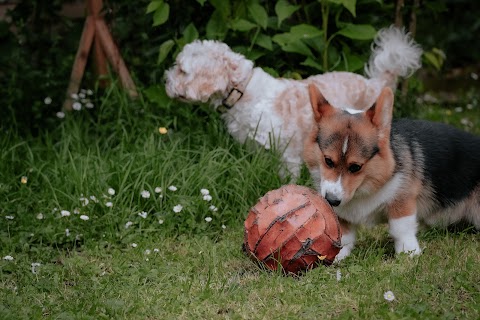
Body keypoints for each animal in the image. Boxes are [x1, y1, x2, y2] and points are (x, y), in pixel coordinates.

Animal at [165, 26, 420, 179]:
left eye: (182, 70)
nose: (165, 80)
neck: (245, 92)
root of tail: (375, 83)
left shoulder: (288, 154)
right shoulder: (257, 149)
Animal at [304, 84, 480, 262]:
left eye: (355, 167)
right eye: (328, 161)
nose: (332, 201)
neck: (365, 186)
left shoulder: (402, 199)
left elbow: (401, 228)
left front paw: (409, 253)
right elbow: (343, 235)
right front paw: (337, 257)